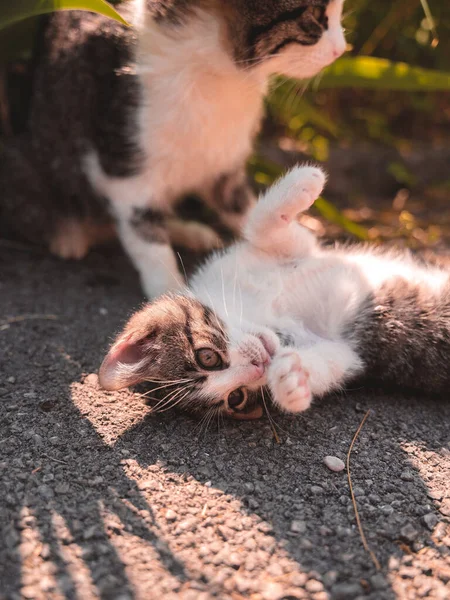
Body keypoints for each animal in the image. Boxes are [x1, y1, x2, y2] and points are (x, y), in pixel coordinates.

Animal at [0, 0, 346, 298]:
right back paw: (68, 235)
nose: (342, 49)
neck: (217, 73)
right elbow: (145, 234)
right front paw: (167, 287)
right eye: (316, 17)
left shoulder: (224, 160)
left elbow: (239, 203)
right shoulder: (122, 165)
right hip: (25, 160)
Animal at [100, 164, 450, 418]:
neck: (261, 309)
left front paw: (303, 182)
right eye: (236, 398)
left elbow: (261, 226)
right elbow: (331, 364)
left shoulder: (289, 252)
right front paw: (290, 384)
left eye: (207, 357)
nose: (259, 368)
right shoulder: (348, 353)